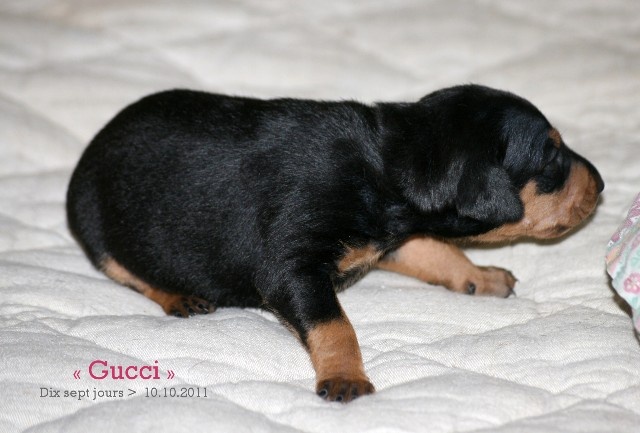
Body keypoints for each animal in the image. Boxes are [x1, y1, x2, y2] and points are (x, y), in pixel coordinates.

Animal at [67, 84, 603, 402]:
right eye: (552, 157)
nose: (601, 184)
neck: (387, 165)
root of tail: (94, 144)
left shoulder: (395, 236)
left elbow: (438, 250)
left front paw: (481, 276)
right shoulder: (292, 268)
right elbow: (335, 325)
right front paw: (345, 377)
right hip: (96, 225)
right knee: (130, 272)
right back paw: (179, 296)